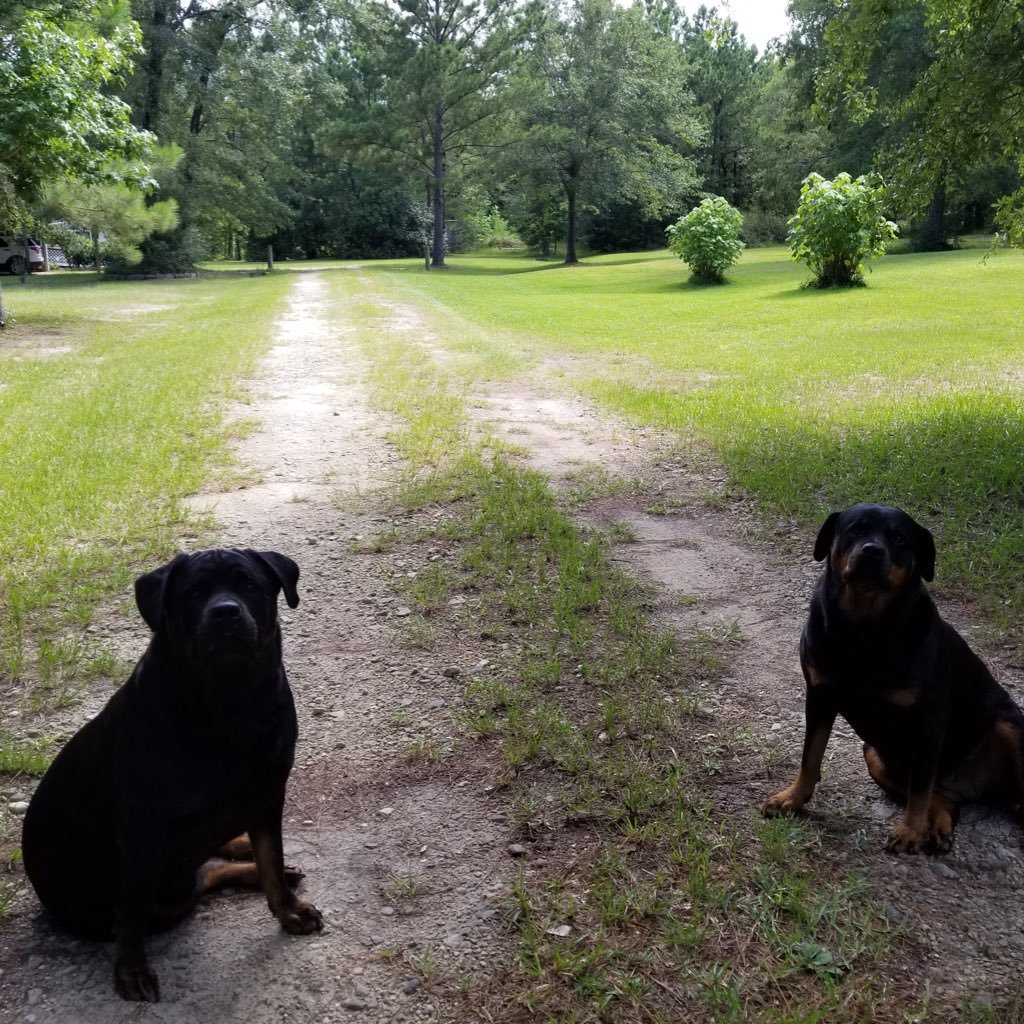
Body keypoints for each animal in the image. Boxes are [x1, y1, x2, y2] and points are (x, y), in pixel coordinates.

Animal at [22, 548, 321, 1003]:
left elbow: (271, 856)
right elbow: (130, 912)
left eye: (249, 585)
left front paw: (287, 907)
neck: (230, 701)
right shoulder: (144, 832)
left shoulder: (269, 793)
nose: (226, 611)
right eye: (194, 593)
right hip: (163, 896)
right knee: (189, 883)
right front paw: (131, 970)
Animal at [761, 505, 1024, 856]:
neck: (863, 629)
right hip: (875, 756)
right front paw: (792, 798)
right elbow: (810, 757)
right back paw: (940, 827)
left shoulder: (928, 721)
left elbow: (920, 790)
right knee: (946, 800)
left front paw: (910, 831)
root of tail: (975, 787)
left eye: (899, 538)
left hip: (1009, 725)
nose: (872, 550)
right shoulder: (819, 696)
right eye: (855, 530)